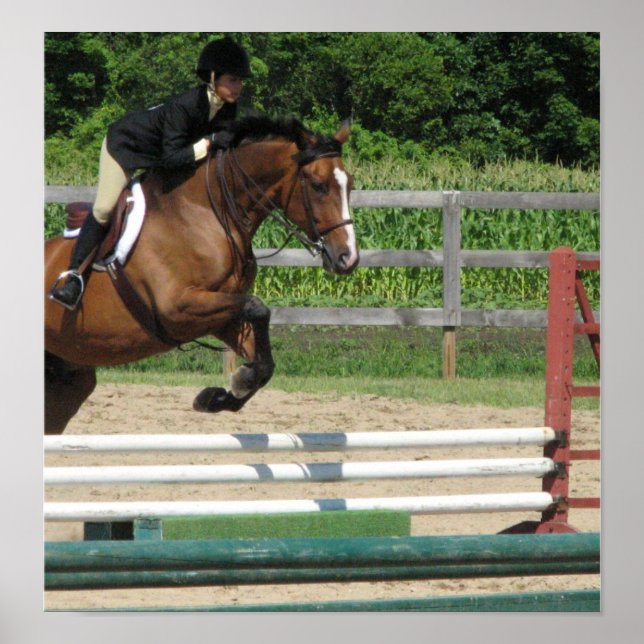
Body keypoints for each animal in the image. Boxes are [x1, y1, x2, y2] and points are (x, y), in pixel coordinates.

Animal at [44, 116, 359, 434]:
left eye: (351, 185)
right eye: (318, 186)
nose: (348, 257)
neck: (204, 215)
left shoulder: (220, 315)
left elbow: (262, 352)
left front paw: (220, 395)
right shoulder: (177, 309)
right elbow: (257, 306)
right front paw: (234, 384)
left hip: (69, 379)